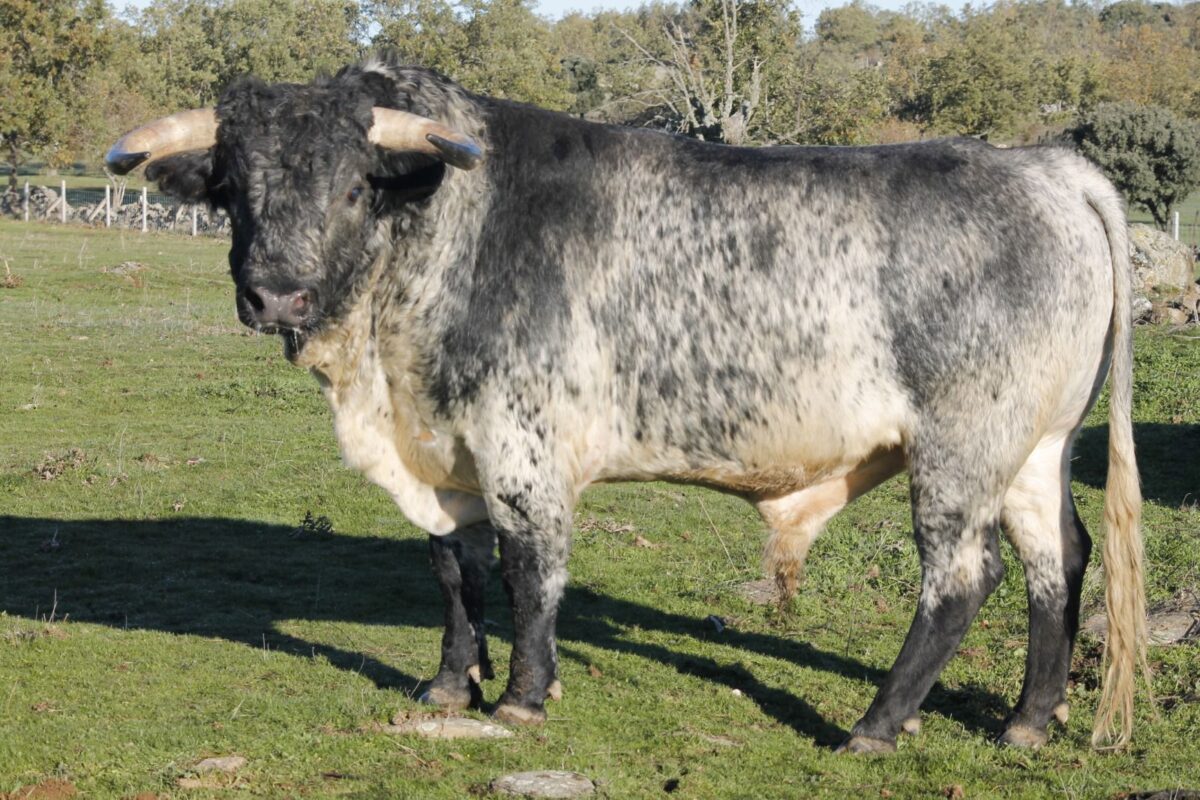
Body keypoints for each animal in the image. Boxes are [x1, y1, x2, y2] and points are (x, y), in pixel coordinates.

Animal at [106, 56, 1147, 753]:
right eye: (233, 189)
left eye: (358, 187)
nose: (276, 295)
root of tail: (1047, 168)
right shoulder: (445, 456)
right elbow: (453, 568)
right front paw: (448, 685)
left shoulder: (521, 448)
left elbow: (528, 571)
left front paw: (522, 695)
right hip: (1036, 447)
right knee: (1059, 558)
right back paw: (1028, 721)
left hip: (962, 450)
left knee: (963, 577)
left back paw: (876, 725)